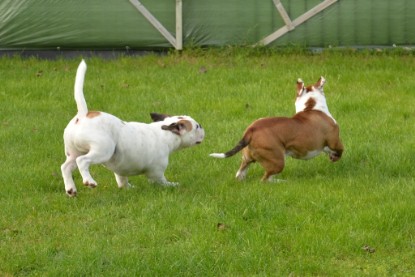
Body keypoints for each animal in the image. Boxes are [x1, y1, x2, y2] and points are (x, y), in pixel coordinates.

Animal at [61, 59, 205, 195]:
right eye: (197, 126)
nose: (203, 128)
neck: (164, 133)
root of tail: (83, 115)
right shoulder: (156, 173)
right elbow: (162, 182)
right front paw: (173, 185)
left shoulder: (120, 170)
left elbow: (122, 181)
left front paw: (128, 188)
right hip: (103, 150)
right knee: (82, 161)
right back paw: (89, 181)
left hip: (73, 152)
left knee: (66, 167)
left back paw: (70, 189)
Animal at [211, 76, 344, 181]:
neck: (311, 107)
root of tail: (251, 130)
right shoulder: (334, 140)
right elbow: (340, 149)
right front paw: (335, 157)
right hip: (277, 161)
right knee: (265, 179)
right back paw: (281, 181)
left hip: (247, 159)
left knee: (240, 173)